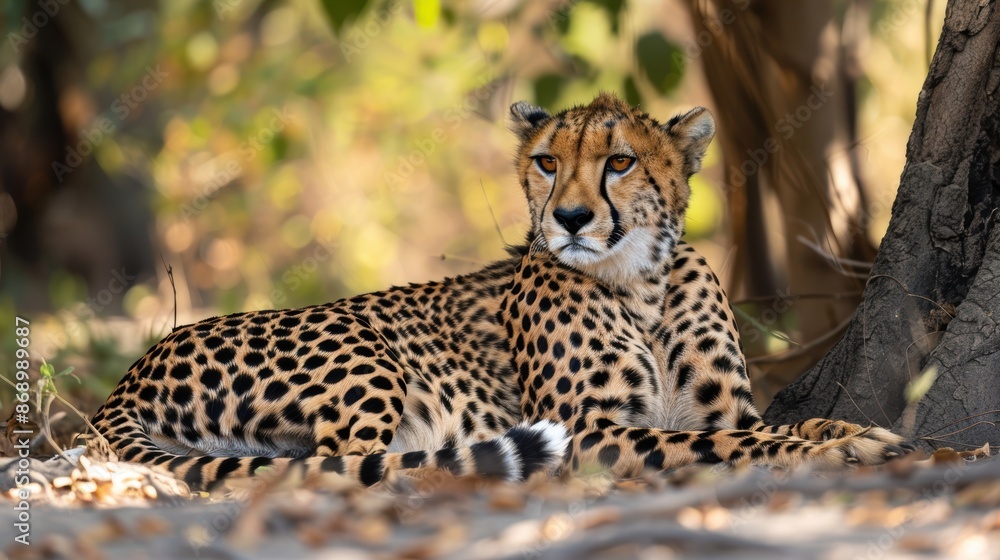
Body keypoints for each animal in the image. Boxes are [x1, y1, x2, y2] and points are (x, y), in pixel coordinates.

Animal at [89, 93, 912, 492]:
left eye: (619, 162)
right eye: (547, 161)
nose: (571, 218)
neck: (640, 281)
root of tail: (129, 374)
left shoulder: (723, 405)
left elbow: (766, 423)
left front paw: (859, 431)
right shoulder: (590, 430)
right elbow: (732, 441)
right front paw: (842, 446)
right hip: (364, 350)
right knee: (338, 467)